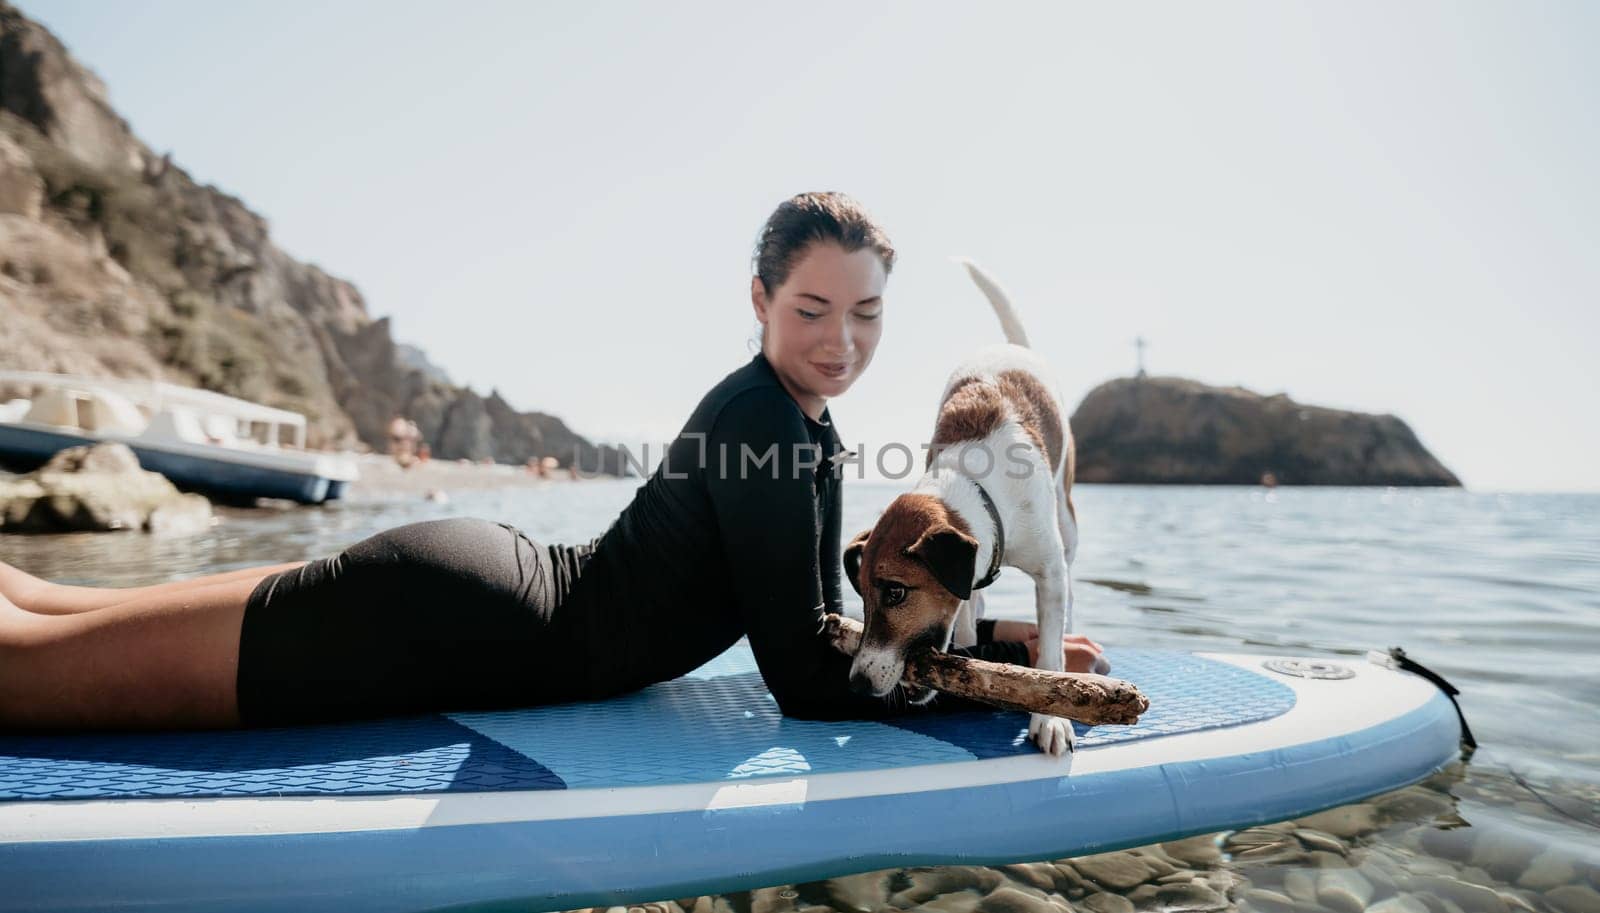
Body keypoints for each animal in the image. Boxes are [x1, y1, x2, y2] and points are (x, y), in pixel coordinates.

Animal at [844, 259, 1081, 757]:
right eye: (863, 596)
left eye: (895, 592)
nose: (856, 684)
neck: (976, 486)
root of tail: (1011, 346)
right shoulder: (973, 575)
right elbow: (969, 621)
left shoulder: (1049, 572)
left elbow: (1051, 648)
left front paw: (1051, 718)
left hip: (1067, 521)